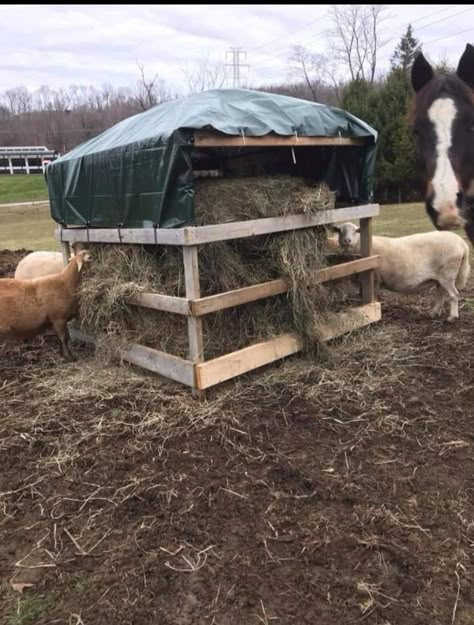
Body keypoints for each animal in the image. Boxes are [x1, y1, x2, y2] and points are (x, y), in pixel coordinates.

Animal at [332, 222, 472, 322]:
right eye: (340, 231)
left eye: (356, 231)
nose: (347, 241)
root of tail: (462, 244)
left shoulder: (375, 278)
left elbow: (373, 297)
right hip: (440, 277)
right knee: (440, 294)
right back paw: (433, 313)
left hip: (447, 273)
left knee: (454, 294)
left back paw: (452, 317)